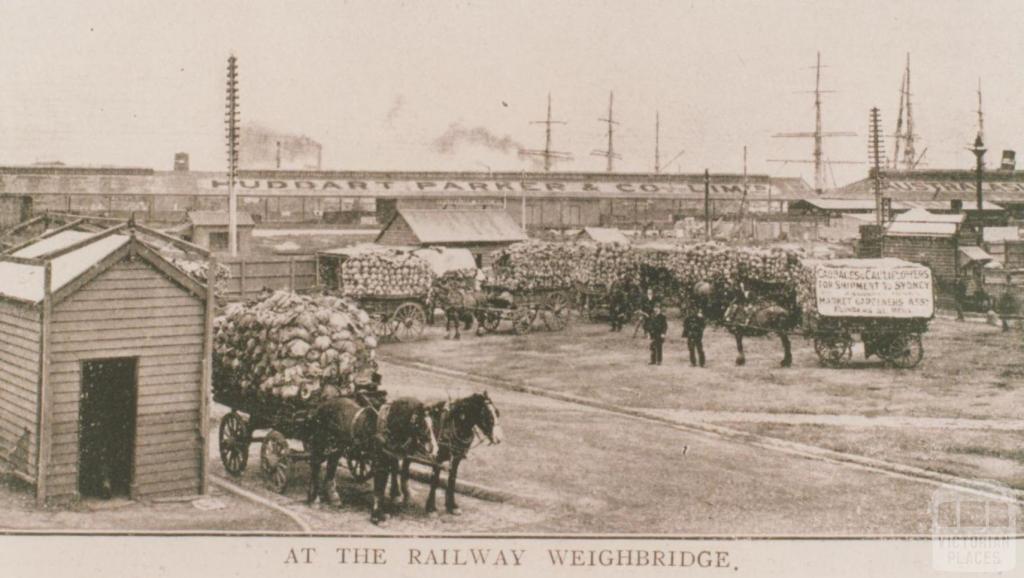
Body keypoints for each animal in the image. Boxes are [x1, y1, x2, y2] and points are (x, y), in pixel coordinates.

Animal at [299, 397, 436, 524]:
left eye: (431, 423)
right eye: (420, 422)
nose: (434, 448)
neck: (385, 428)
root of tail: (321, 406)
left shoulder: (387, 462)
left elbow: (382, 487)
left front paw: (381, 513)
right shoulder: (380, 464)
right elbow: (379, 489)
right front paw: (376, 516)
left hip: (337, 447)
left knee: (330, 466)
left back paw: (333, 498)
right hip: (320, 443)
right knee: (316, 464)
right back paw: (314, 498)